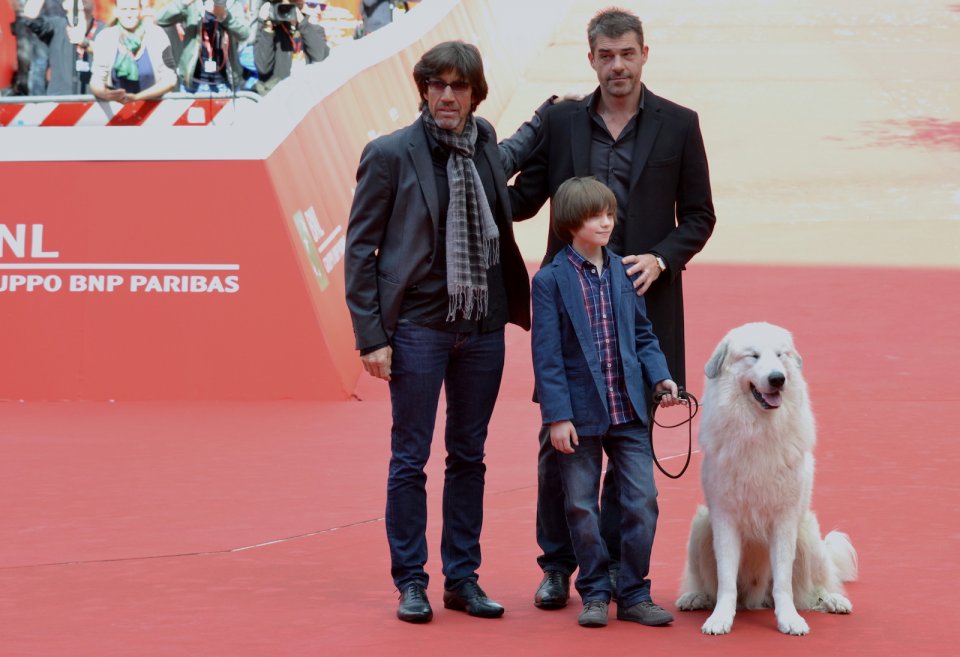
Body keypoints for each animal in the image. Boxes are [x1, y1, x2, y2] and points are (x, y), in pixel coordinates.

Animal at [676, 320, 856, 632]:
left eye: (781, 355)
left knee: (813, 589)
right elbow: (725, 582)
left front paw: (789, 621)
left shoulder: (784, 520)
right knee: (708, 584)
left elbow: (783, 583)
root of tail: (756, 598)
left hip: (807, 534)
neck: (758, 428)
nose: (777, 379)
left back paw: (833, 601)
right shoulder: (724, 518)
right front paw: (720, 619)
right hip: (701, 528)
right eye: (753, 356)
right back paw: (695, 597)